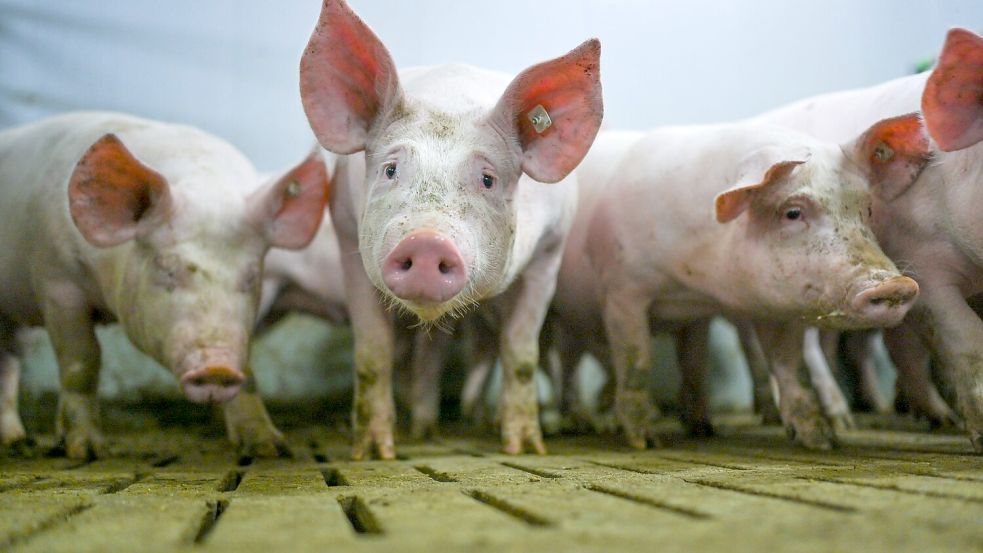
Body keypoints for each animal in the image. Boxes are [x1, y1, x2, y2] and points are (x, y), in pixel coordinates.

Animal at [0, 111, 329, 459]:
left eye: (252, 275)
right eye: (166, 268)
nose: (218, 369)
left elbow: (249, 370)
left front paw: (269, 447)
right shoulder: (56, 281)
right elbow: (81, 362)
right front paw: (86, 451)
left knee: (8, 361)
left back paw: (16, 441)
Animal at [299, 0, 603, 458]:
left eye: (488, 179)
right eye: (391, 169)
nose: (427, 241)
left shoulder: (550, 252)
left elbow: (521, 353)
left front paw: (525, 448)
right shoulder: (346, 232)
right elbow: (373, 352)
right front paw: (373, 453)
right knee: (430, 352)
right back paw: (423, 431)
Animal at [550, 116, 927, 450]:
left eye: (867, 210)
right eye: (792, 212)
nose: (894, 286)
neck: (696, 283)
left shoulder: (734, 310)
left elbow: (783, 366)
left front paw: (821, 441)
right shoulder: (622, 290)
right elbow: (635, 360)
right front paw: (646, 441)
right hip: (566, 319)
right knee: (569, 364)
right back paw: (587, 422)